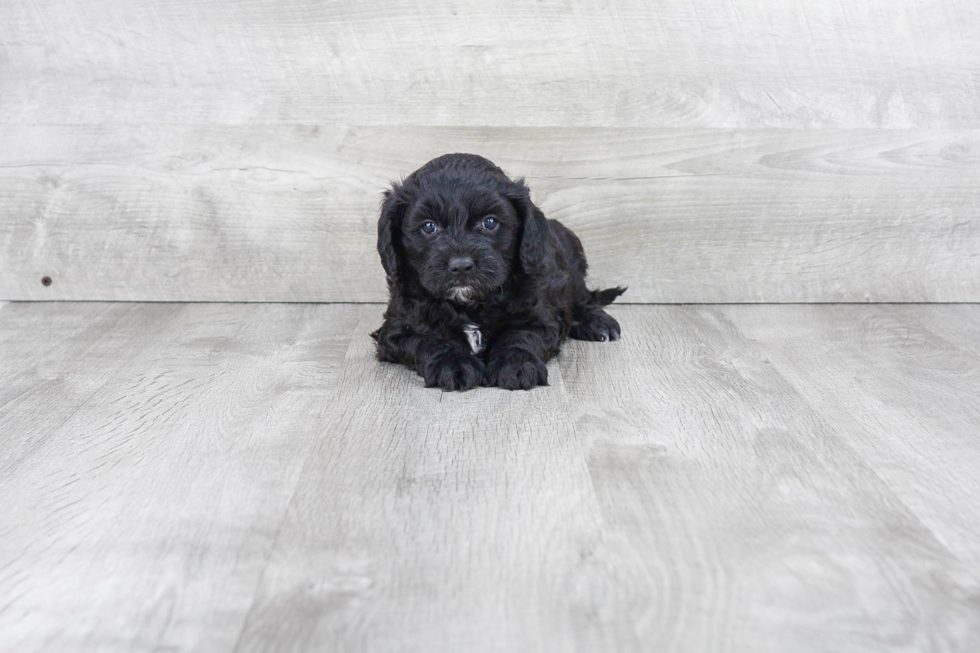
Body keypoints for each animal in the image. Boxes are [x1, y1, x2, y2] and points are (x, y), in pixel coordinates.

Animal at [372, 155, 624, 390]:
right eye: (428, 226)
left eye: (490, 222)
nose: (461, 266)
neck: (469, 303)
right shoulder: (397, 328)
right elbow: (429, 340)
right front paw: (452, 363)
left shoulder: (539, 315)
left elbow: (520, 334)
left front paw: (517, 364)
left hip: (572, 258)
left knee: (582, 297)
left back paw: (598, 323)